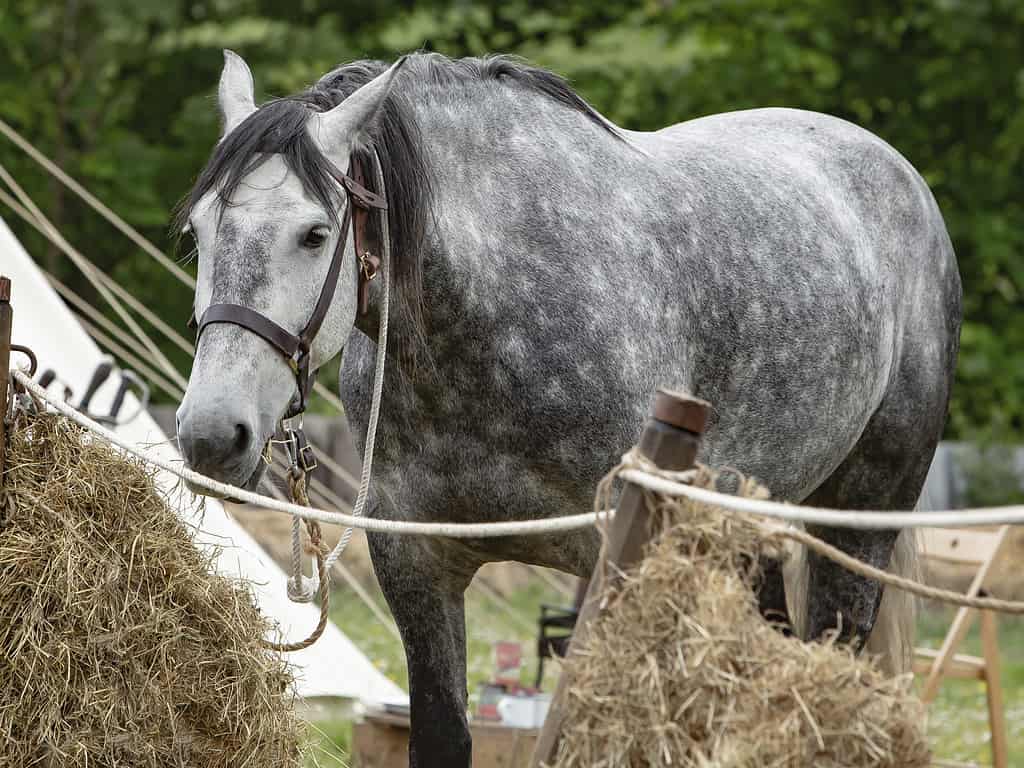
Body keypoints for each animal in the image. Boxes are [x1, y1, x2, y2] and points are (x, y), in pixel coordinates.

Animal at [174, 51, 962, 767]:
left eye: (313, 233)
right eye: (199, 232)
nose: (212, 434)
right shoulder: (416, 564)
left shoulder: (615, 558)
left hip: (863, 513)